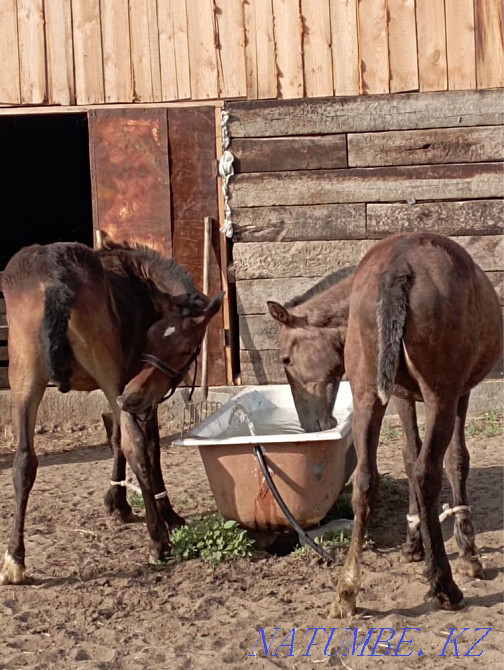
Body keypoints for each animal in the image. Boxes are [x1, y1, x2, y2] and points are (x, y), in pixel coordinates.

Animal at [0, 236, 223, 585]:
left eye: (183, 347)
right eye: (150, 340)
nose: (132, 396)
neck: (138, 278)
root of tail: (55, 279)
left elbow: (115, 438)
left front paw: (117, 503)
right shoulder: (138, 394)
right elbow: (145, 445)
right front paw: (162, 511)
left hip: (25, 379)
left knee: (24, 461)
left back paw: (14, 559)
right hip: (111, 377)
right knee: (136, 445)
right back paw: (158, 542)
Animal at [268, 232, 502, 617]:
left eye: (287, 359)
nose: (309, 424)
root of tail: (399, 268)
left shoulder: (400, 396)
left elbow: (407, 456)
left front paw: (413, 543)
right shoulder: (459, 395)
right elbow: (455, 461)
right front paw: (467, 552)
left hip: (367, 397)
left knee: (366, 480)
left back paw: (347, 591)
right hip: (439, 397)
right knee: (427, 474)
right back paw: (444, 586)